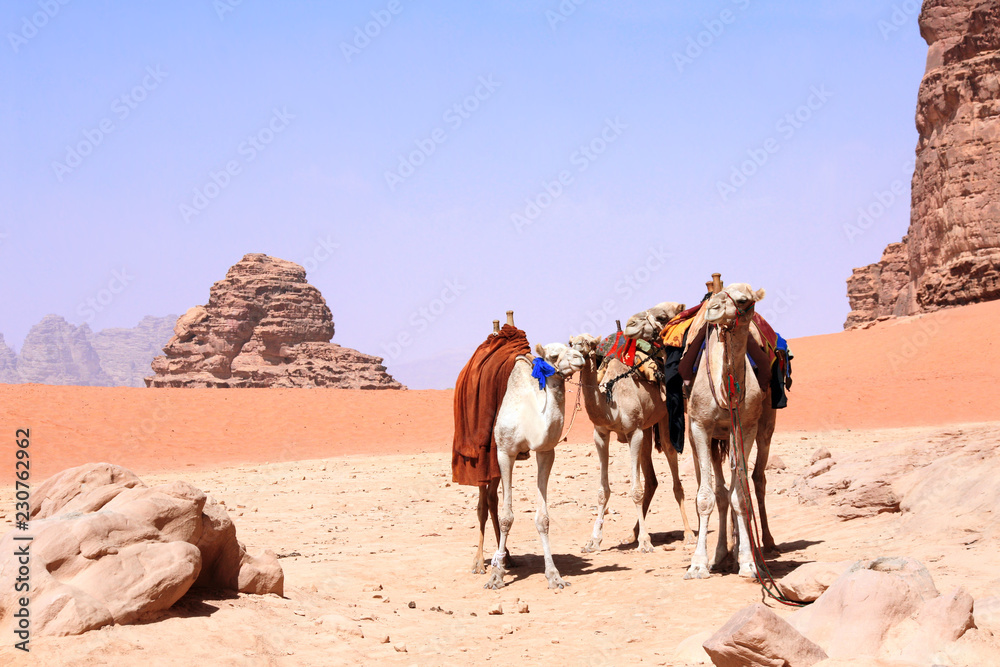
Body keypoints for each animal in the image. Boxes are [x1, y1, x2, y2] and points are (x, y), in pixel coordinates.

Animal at [485, 342, 585, 590]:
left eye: (571, 346)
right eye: (554, 355)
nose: (580, 357)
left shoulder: (546, 451)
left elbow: (543, 518)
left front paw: (554, 576)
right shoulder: (505, 453)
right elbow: (506, 517)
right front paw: (496, 576)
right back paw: (479, 563)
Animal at [569, 302, 694, 555]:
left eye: (590, 344)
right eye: (571, 343)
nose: (576, 355)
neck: (611, 402)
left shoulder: (633, 432)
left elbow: (635, 490)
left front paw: (645, 543)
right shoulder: (601, 434)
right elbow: (602, 491)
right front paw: (593, 541)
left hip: (664, 419)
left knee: (672, 466)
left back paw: (688, 534)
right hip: (646, 429)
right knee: (652, 480)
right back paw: (632, 534)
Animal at [685, 283, 768, 579]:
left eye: (744, 300)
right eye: (720, 296)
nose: (713, 308)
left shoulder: (746, 427)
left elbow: (740, 497)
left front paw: (749, 563)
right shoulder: (699, 426)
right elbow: (705, 497)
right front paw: (698, 564)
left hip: (760, 430)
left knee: (750, 482)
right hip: (704, 438)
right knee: (719, 493)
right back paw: (720, 554)